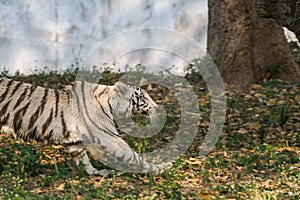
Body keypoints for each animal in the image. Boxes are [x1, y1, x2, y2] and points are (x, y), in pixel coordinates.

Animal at [0, 77, 170, 176]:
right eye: (143, 98)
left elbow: (82, 158)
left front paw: (95, 172)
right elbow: (132, 155)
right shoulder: (109, 137)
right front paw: (160, 167)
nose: (158, 108)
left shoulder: (74, 140)